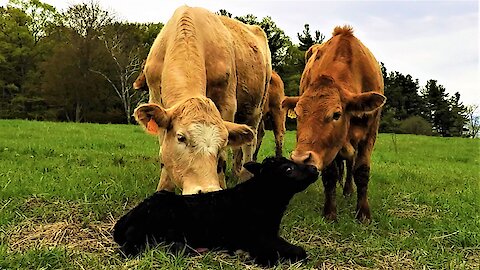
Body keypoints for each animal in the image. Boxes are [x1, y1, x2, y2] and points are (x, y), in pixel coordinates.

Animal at [112, 157, 318, 264]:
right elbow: (299, 251)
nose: (315, 168)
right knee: (128, 250)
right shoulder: (259, 237)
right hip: (145, 232)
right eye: (288, 169)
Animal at [133, 5, 272, 194]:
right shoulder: (156, 97)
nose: (206, 189)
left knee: (250, 143)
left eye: (223, 142)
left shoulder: (227, 103)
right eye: (181, 138)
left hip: (256, 109)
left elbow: (222, 159)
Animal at [282, 25, 386, 220]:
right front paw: (330, 212)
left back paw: (348, 190)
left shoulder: (370, 133)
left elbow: (361, 171)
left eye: (336, 114)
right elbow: (330, 174)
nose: (300, 159)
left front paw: (363, 213)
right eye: (297, 114)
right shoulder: (328, 148)